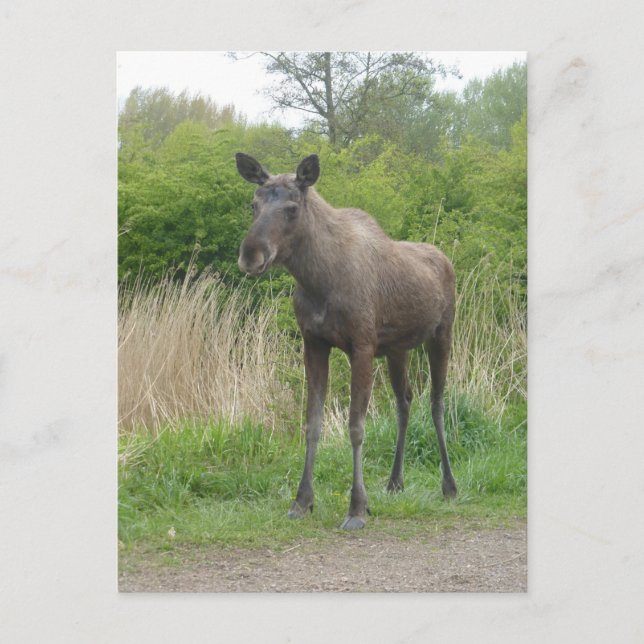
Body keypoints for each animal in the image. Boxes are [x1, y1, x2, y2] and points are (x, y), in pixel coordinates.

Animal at [235, 152, 457, 529]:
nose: (251, 255)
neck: (317, 280)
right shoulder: (313, 343)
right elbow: (312, 424)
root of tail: (446, 260)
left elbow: (356, 427)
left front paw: (357, 507)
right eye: (254, 204)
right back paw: (395, 481)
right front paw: (302, 501)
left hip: (441, 335)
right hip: (397, 350)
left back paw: (449, 485)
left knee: (437, 402)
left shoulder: (362, 346)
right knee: (405, 401)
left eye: (292, 208)